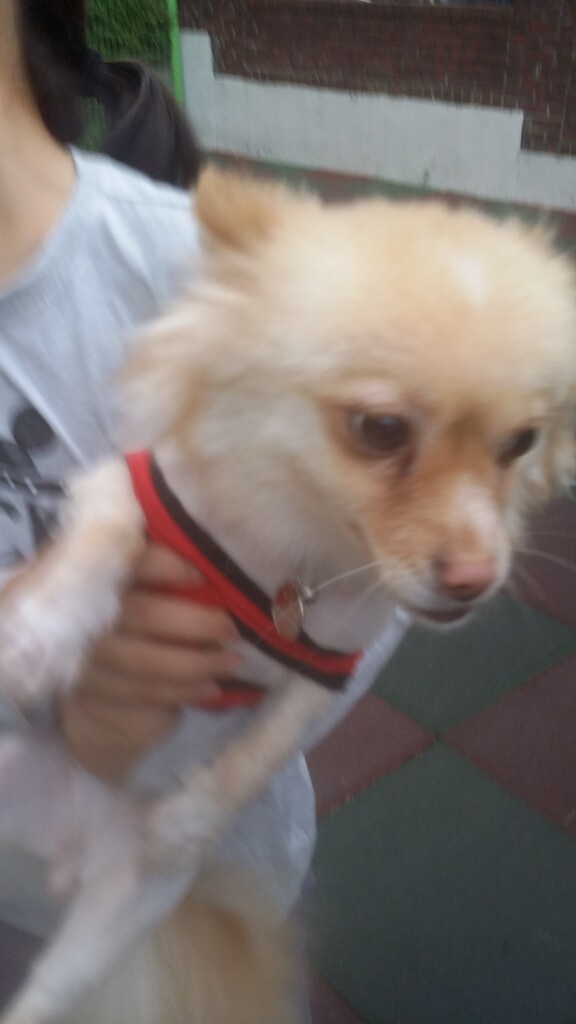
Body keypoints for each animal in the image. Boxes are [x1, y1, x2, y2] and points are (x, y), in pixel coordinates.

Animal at [0, 167, 574, 1024]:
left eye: (521, 444)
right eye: (379, 429)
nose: (475, 579)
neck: (291, 563)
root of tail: (61, 852)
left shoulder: (330, 665)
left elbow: (264, 745)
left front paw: (194, 816)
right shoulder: (126, 488)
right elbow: (106, 535)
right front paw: (40, 634)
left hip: (116, 920)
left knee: (43, 997)